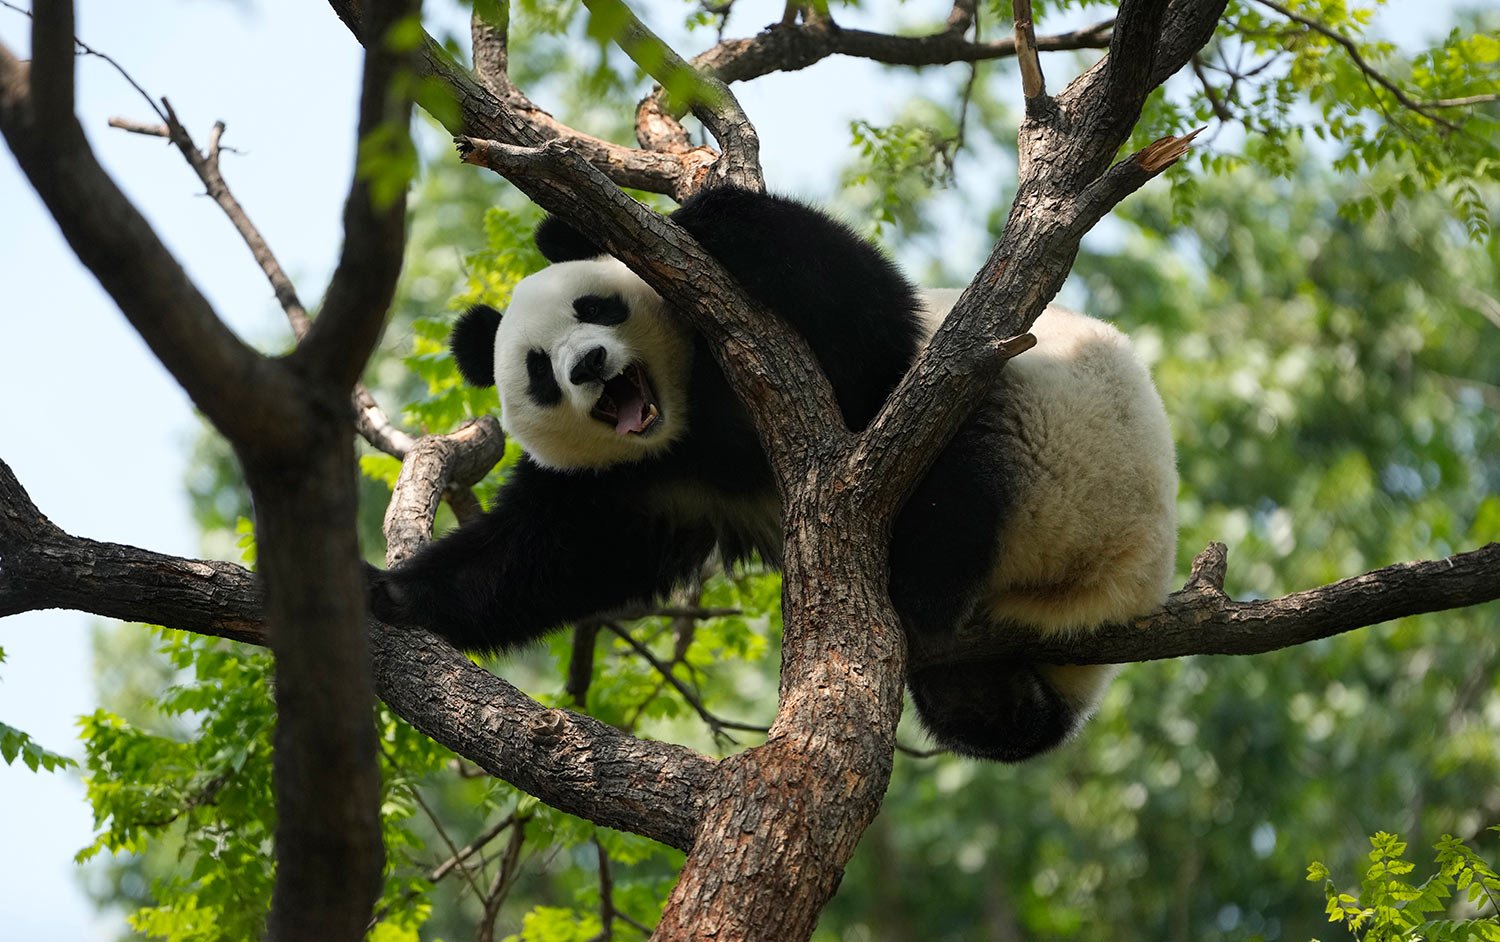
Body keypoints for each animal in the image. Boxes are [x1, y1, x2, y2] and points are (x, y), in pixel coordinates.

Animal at [369, 186, 1176, 765]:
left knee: (960, 471)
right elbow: (541, 555)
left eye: (594, 305)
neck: (690, 414)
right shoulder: (636, 483)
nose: (589, 365)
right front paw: (388, 593)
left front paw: (672, 217)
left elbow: (864, 312)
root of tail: (1113, 588)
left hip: (1060, 442)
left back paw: (907, 589)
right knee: (982, 709)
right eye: (538, 371)